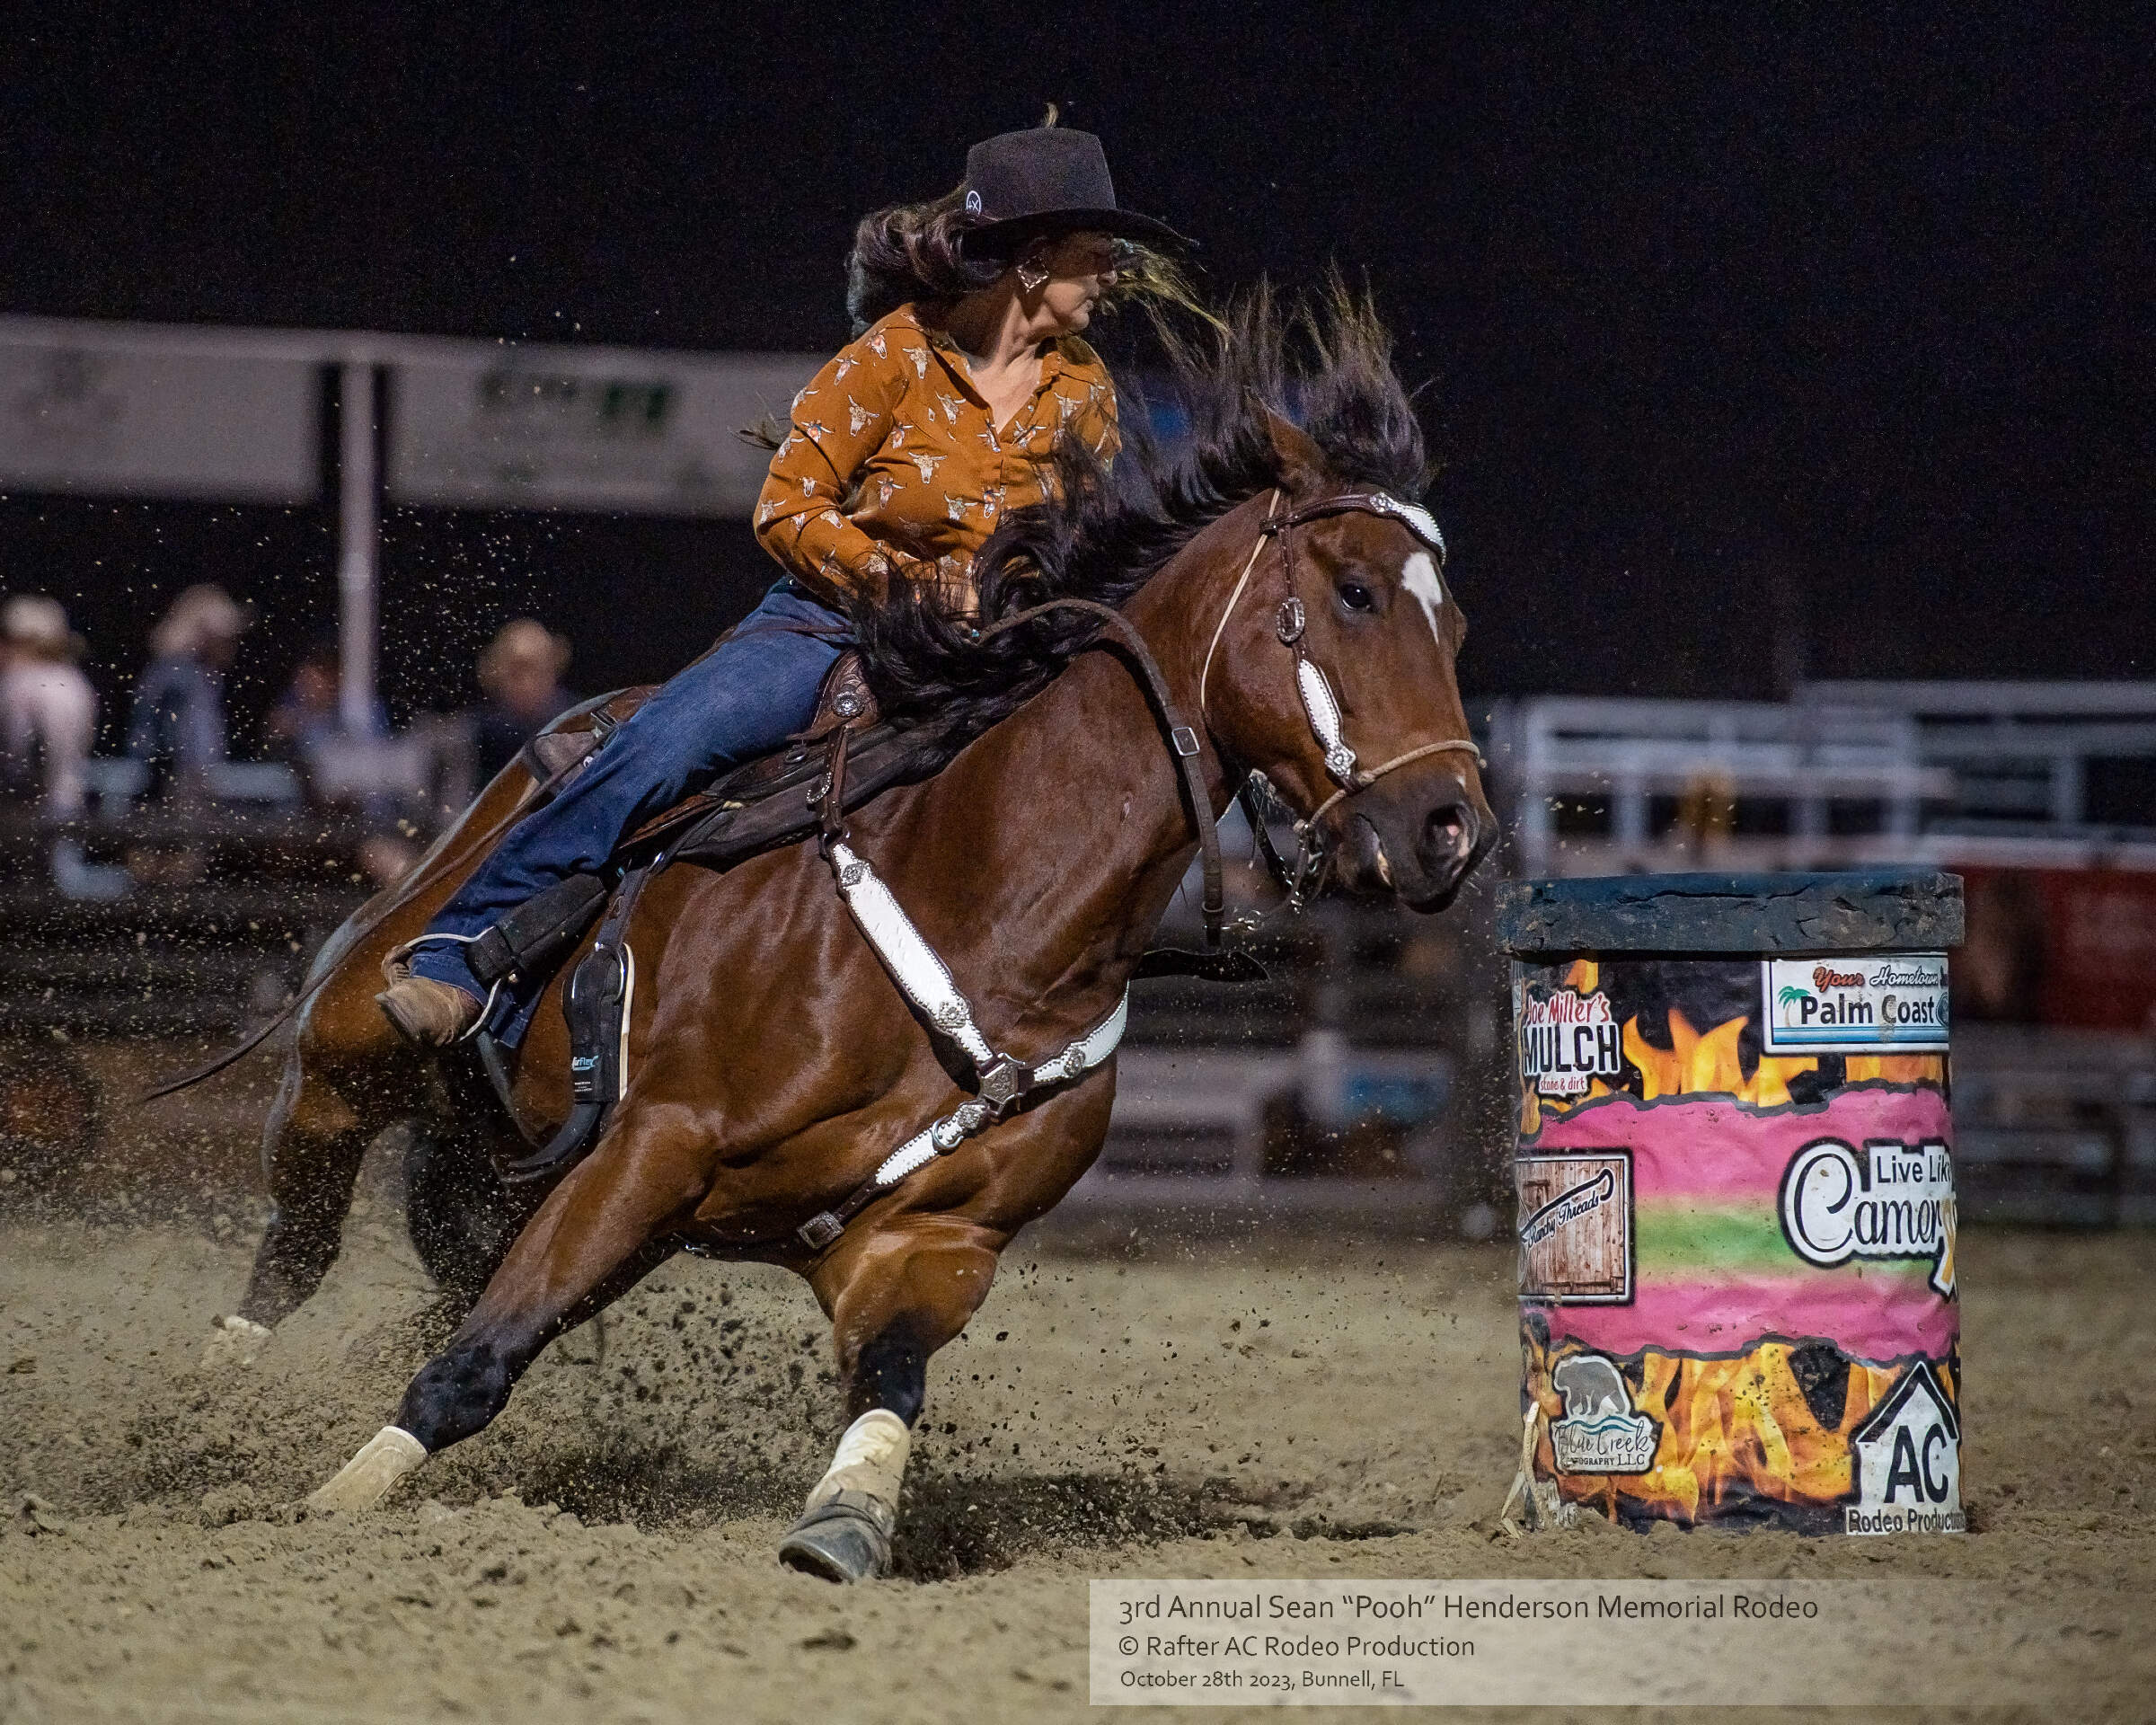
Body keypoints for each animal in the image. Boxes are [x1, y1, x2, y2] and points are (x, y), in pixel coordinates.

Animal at [203, 288, 1495, 1581]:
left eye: (1457, 626)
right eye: (1355, 593)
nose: (1453, 829)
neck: (992, 911)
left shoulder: (932, 1238)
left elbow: (890, 1384)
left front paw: (843, 1526)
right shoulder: (653, 1145)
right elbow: (474, 1365)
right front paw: (330, 1503)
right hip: (352, 1052)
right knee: (302, 1230)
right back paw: (213, 1392)